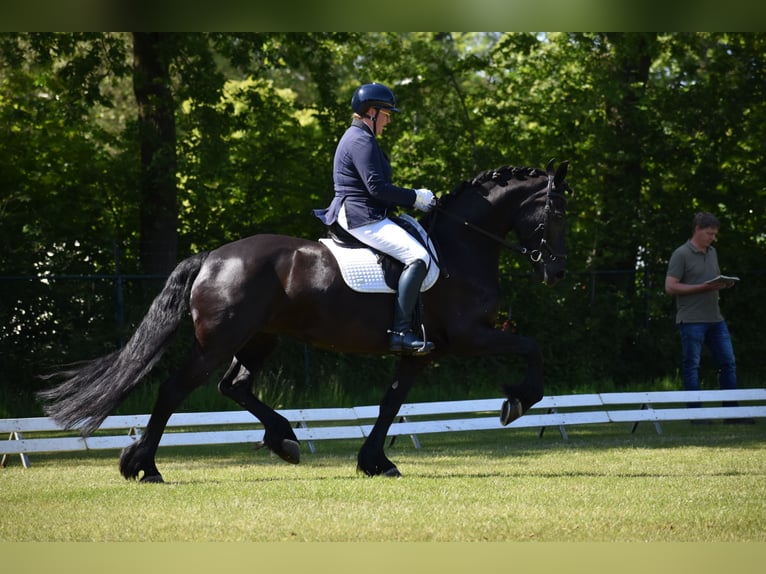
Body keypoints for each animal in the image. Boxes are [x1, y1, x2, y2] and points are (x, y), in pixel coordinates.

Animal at [40, 161, 568, 482]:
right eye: (557, 212)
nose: (556, 272)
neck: (460, 247)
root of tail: (213, 256)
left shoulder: (421, 352)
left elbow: (390, 403)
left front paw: (374, 461)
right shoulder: (466, 337)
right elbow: (533, 347)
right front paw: (517, 402)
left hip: (260, 338)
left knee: (234, 386)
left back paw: (284, 440)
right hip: (219, 340)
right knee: (175, 390)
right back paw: (146, 467)